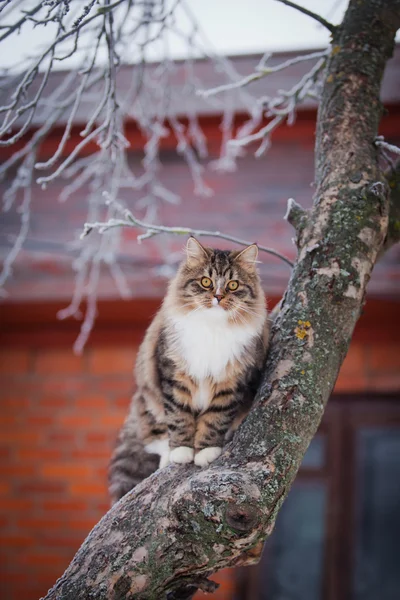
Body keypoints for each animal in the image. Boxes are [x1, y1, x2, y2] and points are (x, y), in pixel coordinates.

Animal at [108, 237, 268, 504]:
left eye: (233, 285)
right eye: (206, 282)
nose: (218, 296)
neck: (213, 329)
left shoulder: (231, 382)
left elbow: (215, 418)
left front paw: (206, 451)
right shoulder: (174, 375)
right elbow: (179, 416)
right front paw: (182, 451)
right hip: (148, 397)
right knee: (155, 436)